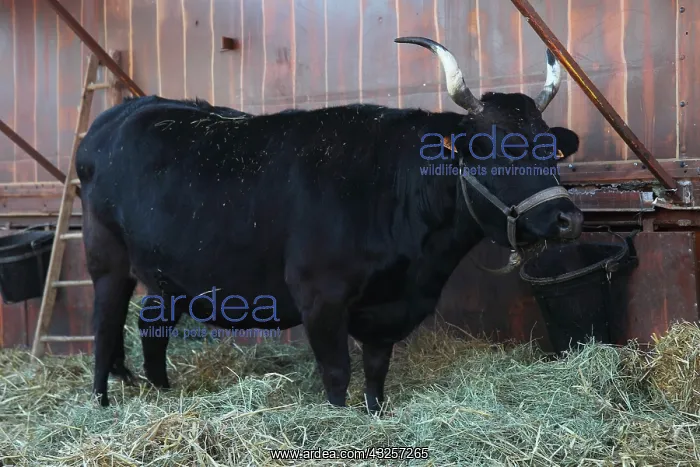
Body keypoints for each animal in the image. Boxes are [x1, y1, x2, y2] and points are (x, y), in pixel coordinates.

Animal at [76, 36, 584, 412]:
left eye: (550, 148)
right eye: (493, 148)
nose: (568, 218)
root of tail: (121, 114)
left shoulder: (389, 305)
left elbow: (376, 370)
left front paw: (375, 412)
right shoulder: (319, 296)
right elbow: (338, 373)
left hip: (169, 273)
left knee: (151, 322)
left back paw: (162, 391)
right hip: (106, 257)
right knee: (104, 324)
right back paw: (101, 401)